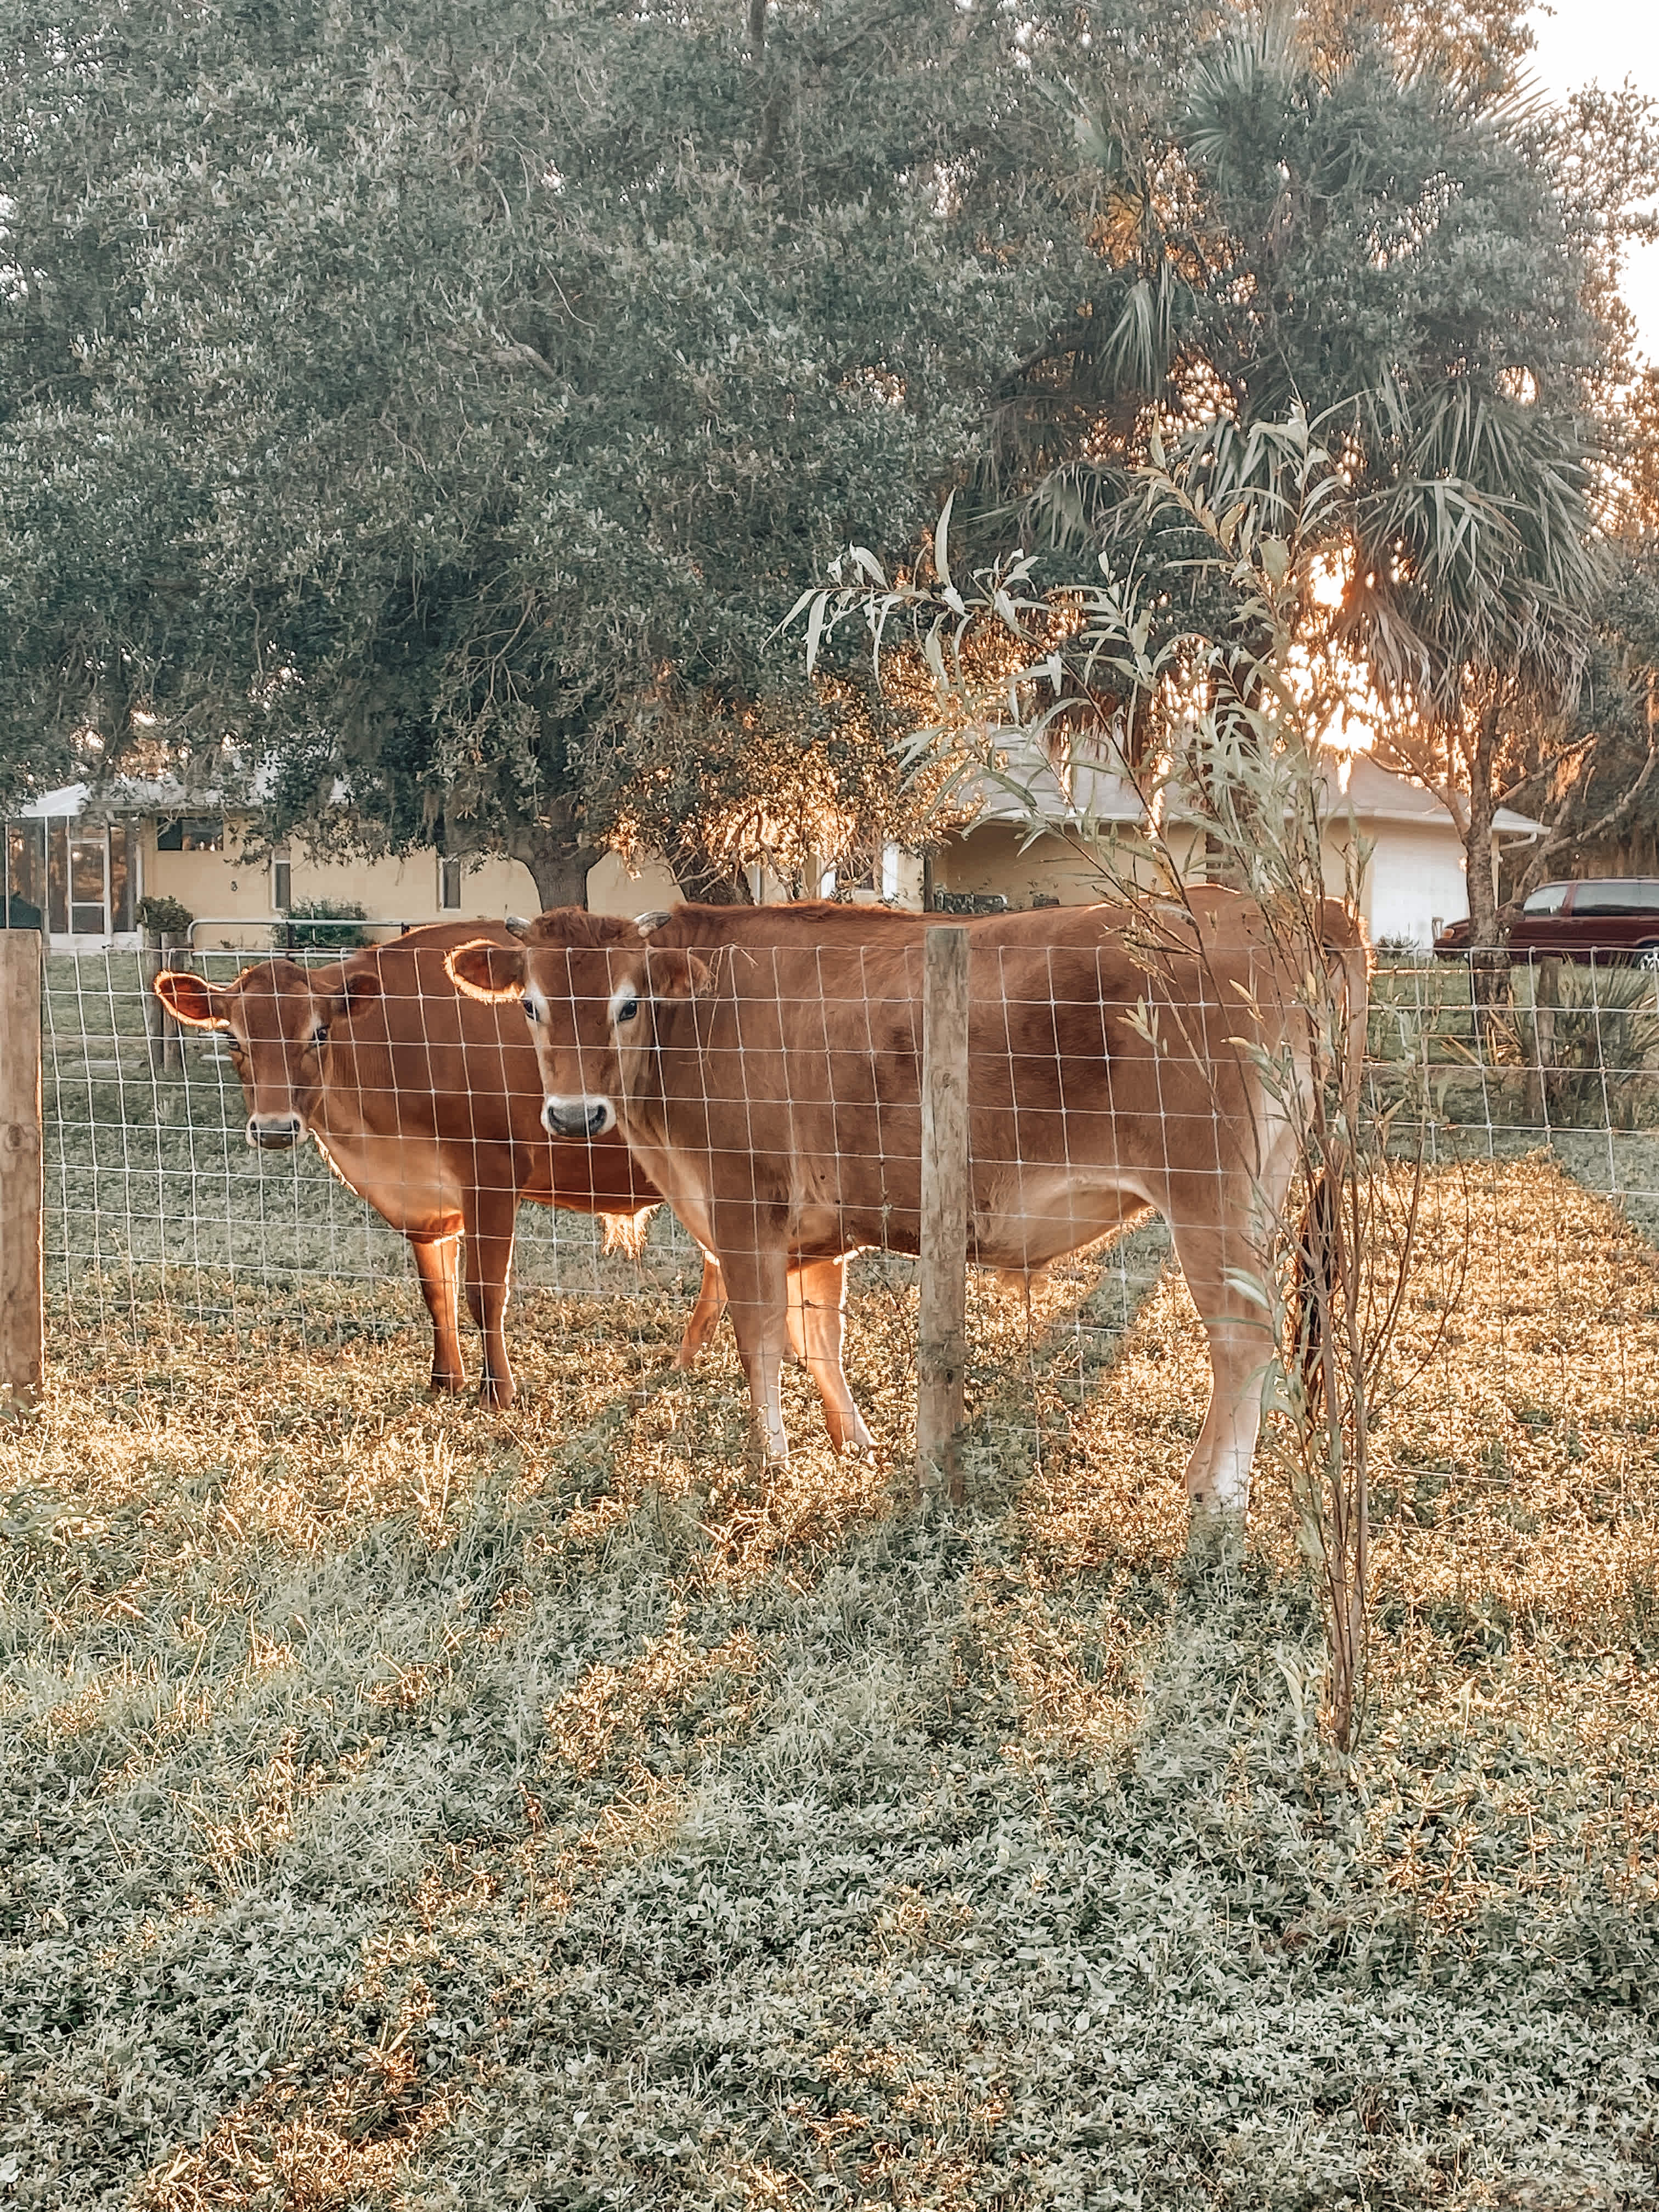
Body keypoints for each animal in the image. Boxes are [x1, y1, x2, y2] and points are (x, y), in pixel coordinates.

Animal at [151, 921, 727, 1405]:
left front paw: (498, 1392)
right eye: (233, 1038)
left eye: (318, 1032)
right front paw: (445, 1378)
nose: (274, 1128)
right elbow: (437, 1293)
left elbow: (484, 1292)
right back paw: (684, 1363)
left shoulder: (491, 1172)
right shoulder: (426, 1202)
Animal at [448, 896, 1369, 1510]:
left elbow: (761, 1341)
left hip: (1213, 1199)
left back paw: (1213, 1499)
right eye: (530, 1006)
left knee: (1243, 1340)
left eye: (627, 1003)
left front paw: (771, 1465)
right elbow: (819, 1338)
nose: (574, 1116)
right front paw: (852, 1446)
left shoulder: (744, 1205)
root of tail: (1289, 909)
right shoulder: (816, 1227)